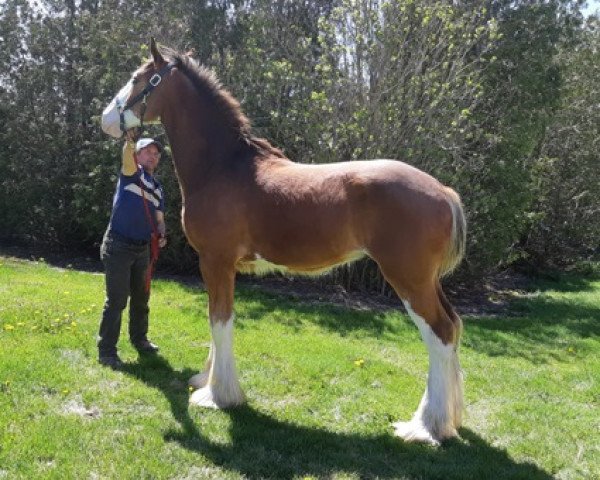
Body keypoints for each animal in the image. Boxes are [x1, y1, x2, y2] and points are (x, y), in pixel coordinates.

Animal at [102, 38, 468, 446]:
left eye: (141, 79)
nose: (105, 119)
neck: (223, 167)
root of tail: (443, 191)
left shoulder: (216, 261)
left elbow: (220, 320)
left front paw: (218, 396)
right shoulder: (218, 265)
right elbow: (216, 318)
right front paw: (205, 380)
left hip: (409, 279)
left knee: (439, 334)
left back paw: (425, 426)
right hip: (428, 281)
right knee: (453, 327)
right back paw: (448, 419)